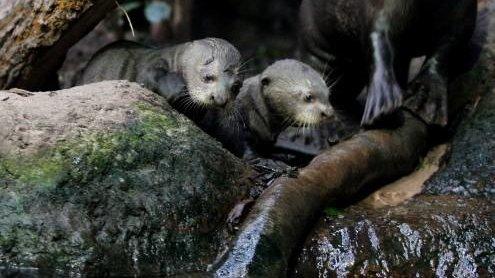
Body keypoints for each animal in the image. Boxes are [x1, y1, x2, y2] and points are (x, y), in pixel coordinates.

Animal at [76, 37, 244, 120]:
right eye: (208, 77)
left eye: (236, 87)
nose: (221, 100)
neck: (173, 60)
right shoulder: (150, 65)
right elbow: (150, 76)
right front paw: (177, 89)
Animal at [300, 0, 478, 125]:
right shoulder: (381, 8)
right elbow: (378, 38)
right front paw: (381, 105)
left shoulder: (463, 13)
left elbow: (448, 47)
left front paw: (425, 99)